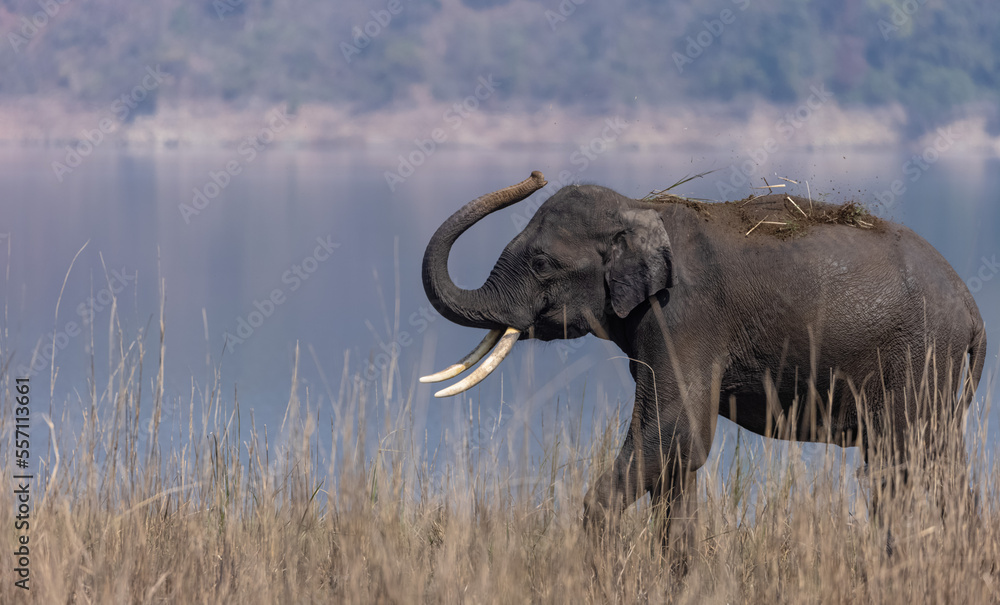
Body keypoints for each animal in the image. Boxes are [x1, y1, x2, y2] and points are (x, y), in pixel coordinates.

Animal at [419, 171, 987, 552]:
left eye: (540, 263)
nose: (535, 175)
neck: (640, 207)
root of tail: (971, 306)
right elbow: (676, 456)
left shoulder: (684, 316)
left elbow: (675, 435)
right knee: (915, 466)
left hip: (920, 359)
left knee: (913, 460)